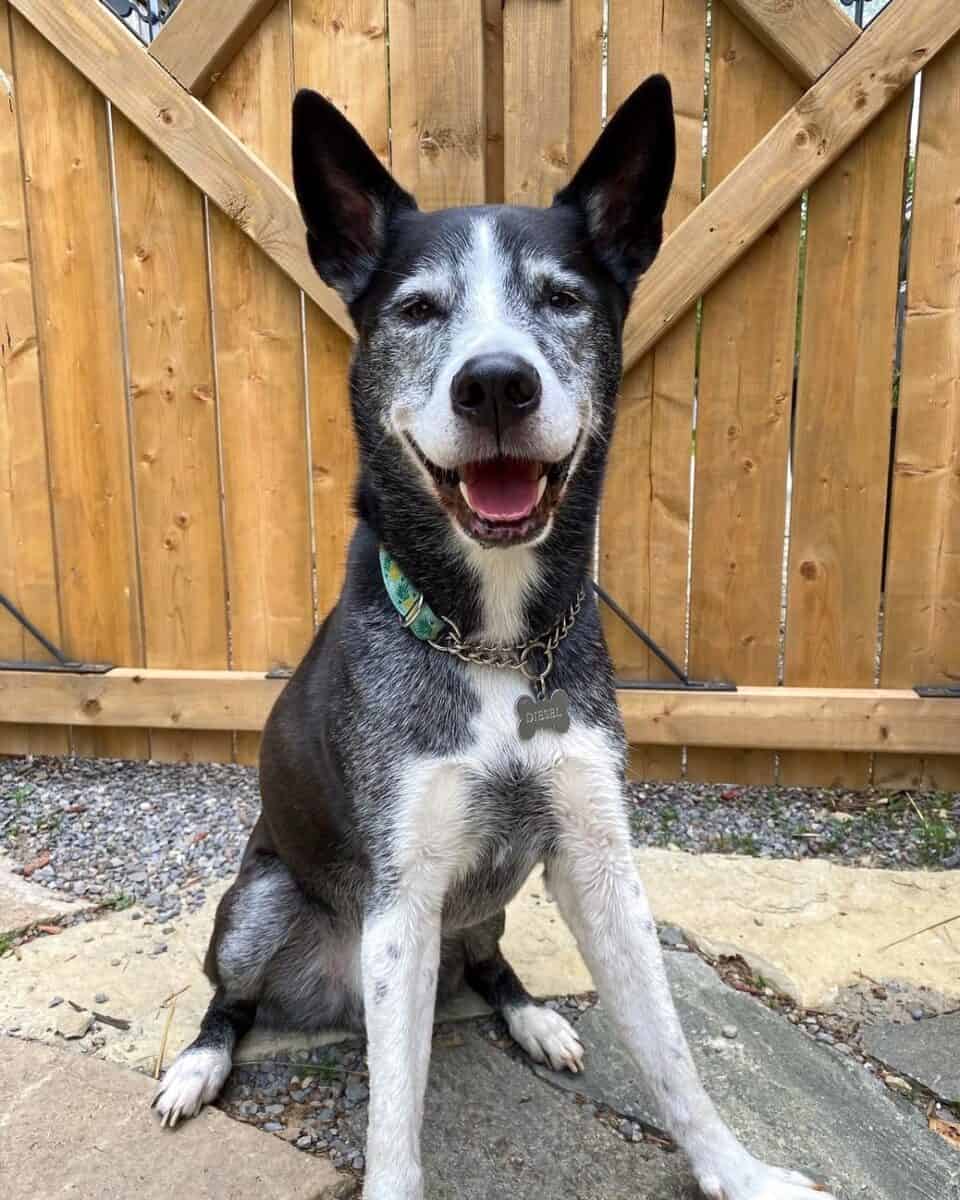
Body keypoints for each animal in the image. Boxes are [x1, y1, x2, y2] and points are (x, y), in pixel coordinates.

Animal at [150, 77, 830, 1200]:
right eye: (418, 309)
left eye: (562, 298)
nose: (498, 384)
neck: (499, 651)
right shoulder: (403, 898)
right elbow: (395, 1111)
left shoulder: (598, 859)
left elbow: (674, 1053)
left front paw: (737, 1170)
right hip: (259, 901)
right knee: (231, 998)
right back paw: (199, 1065)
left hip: (489, 907)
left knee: (487, 962)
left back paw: (531, 1018)